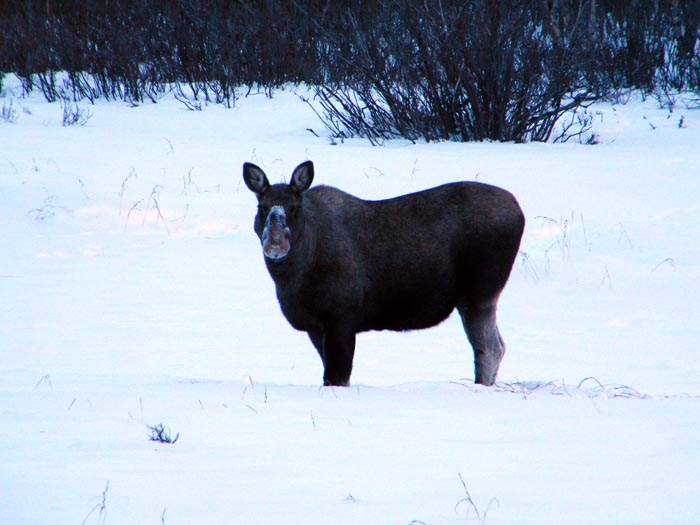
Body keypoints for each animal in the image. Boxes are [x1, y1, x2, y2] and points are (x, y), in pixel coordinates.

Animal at [243, 162, 524, 386]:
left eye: (294, 207)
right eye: (262, 206)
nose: (275, 244)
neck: (292, 279)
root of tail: (519, 211)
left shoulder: (341, 318)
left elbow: (337, 377)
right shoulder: (315, 327)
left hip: (479, 294)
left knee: (489, 348)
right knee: (497, 345)